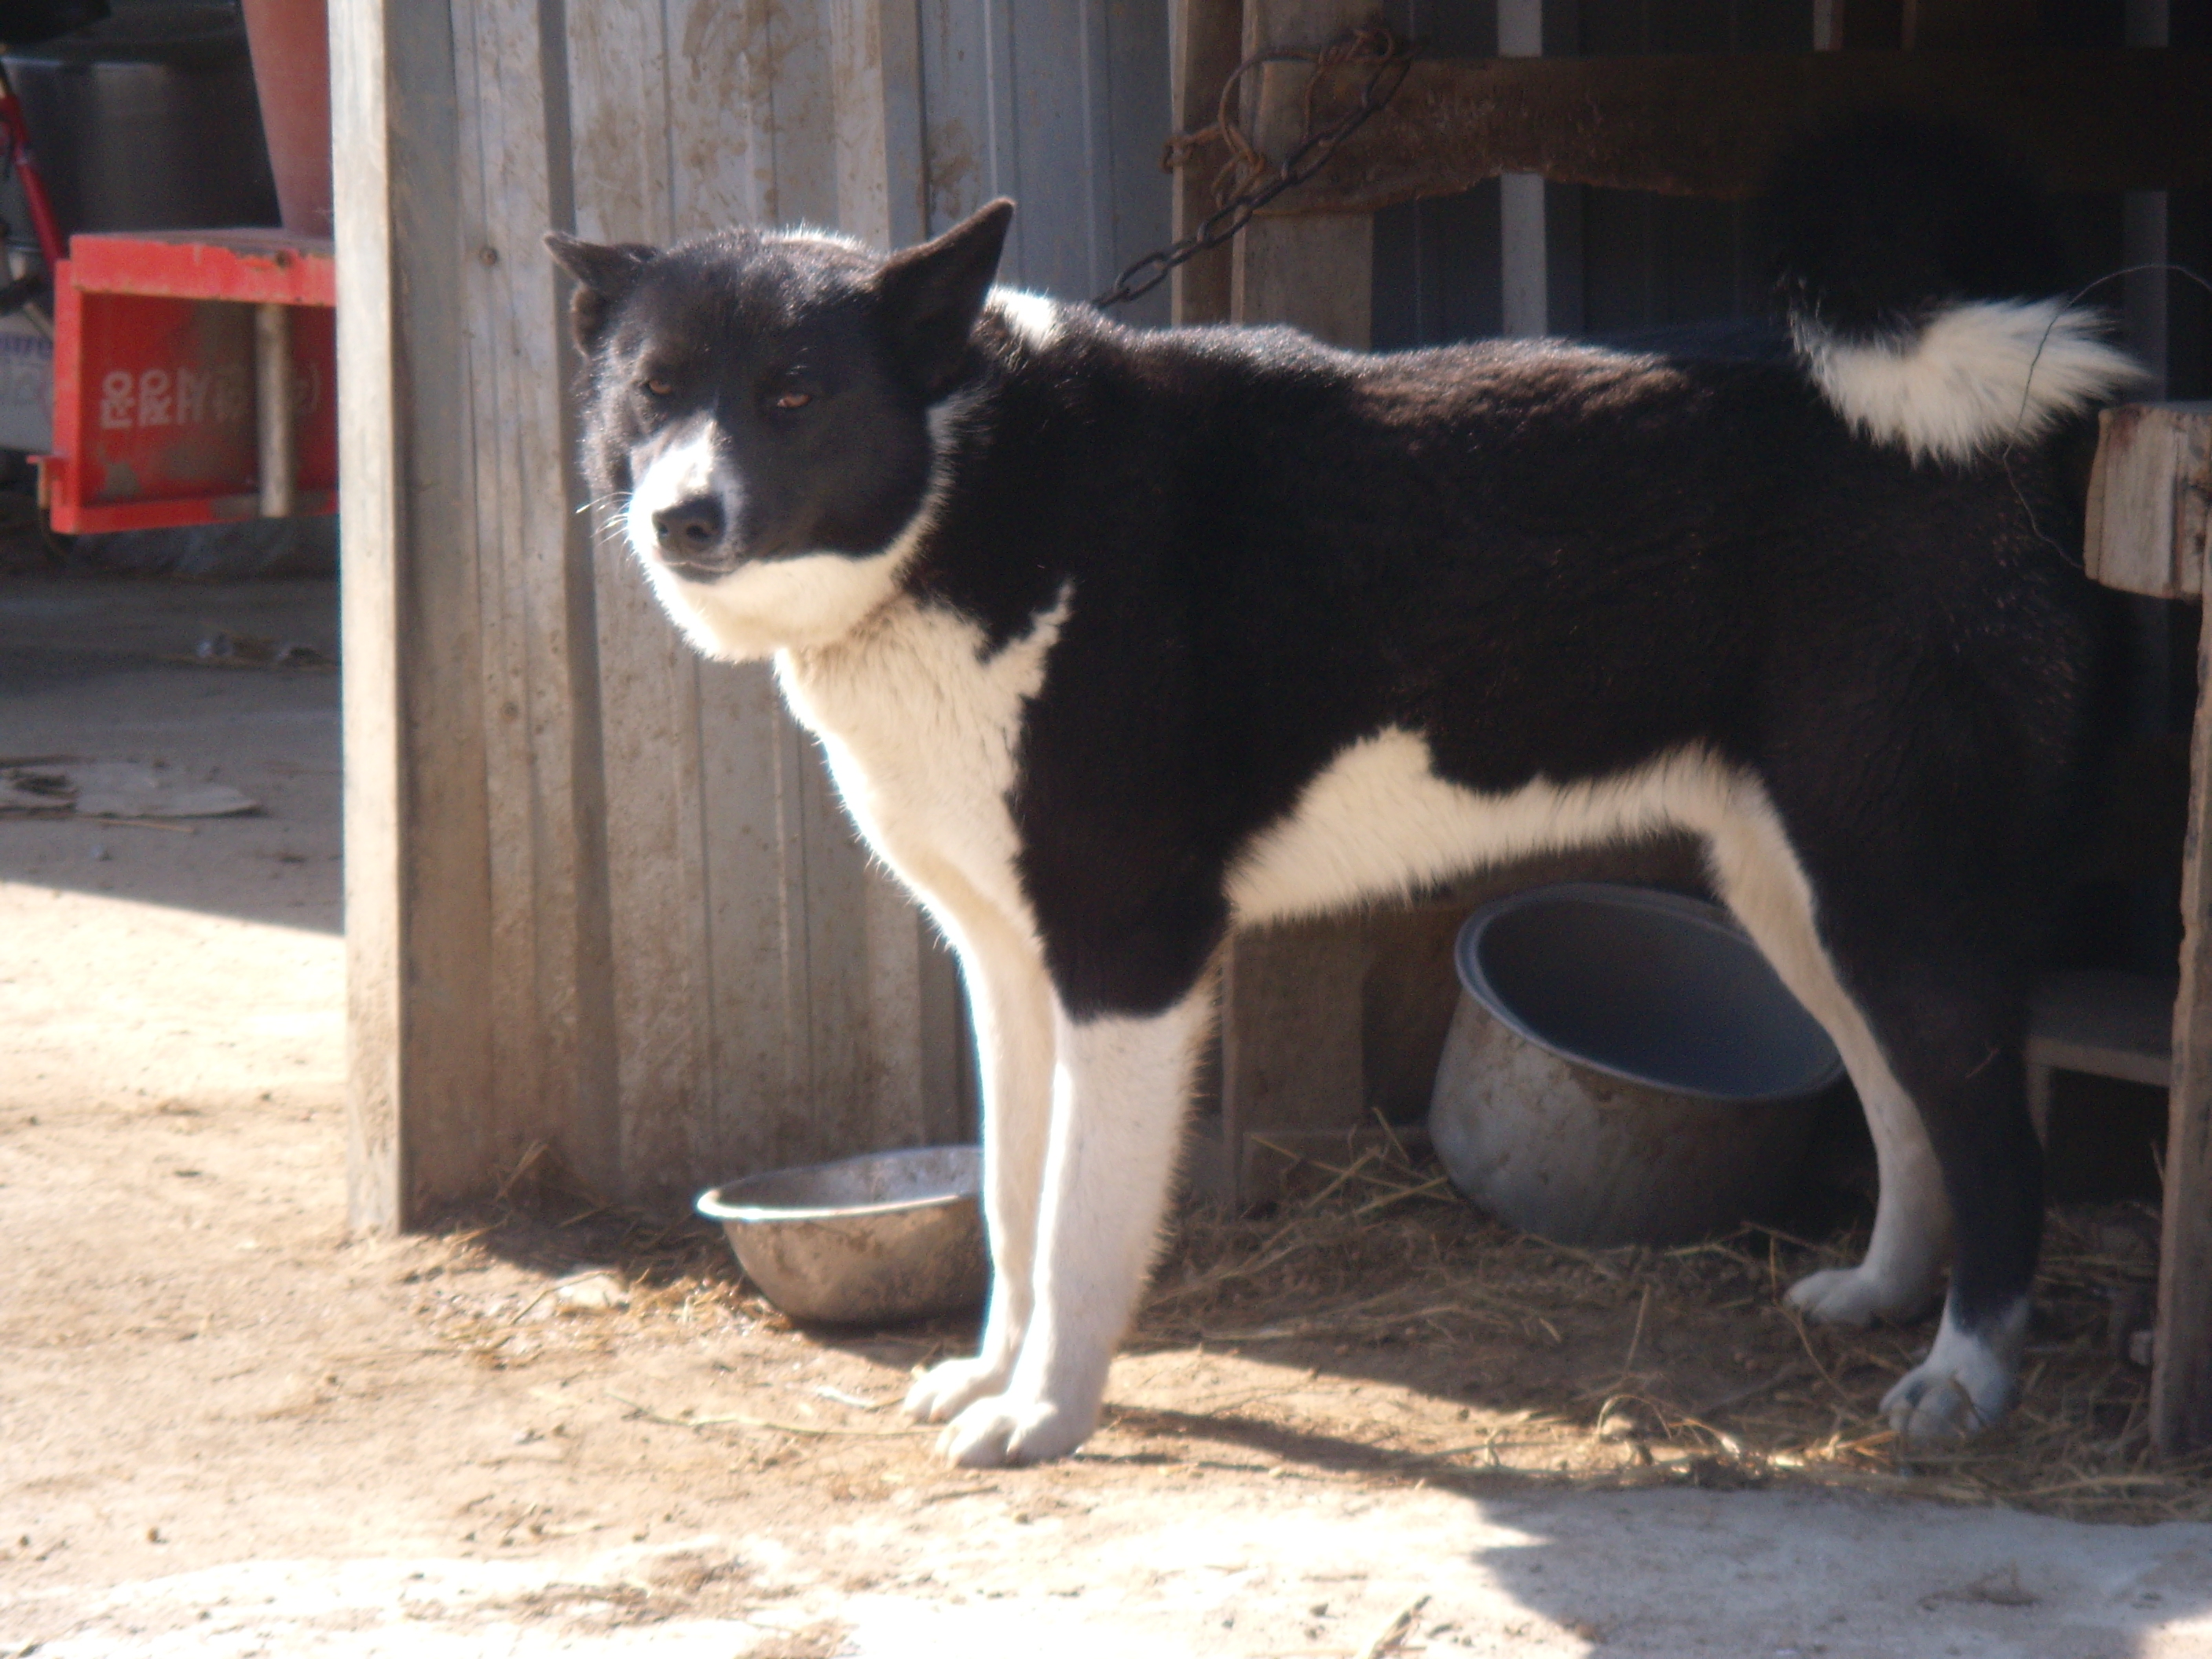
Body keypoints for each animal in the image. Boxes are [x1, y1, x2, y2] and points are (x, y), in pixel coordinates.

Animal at [548, 123, 2138, 1468]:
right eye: (655, 390)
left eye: (793, 395)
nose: (681, 516)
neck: (972, 492)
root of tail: (1962, 428)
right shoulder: (1005, 968)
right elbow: (1010, 1199)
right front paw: (994, 1372)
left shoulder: (1130, 964)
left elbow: (1079, 1224)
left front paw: (1046, 1413)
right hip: (1796, 895)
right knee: (1906, 1108)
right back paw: (1882, 1293)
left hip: (1895, 895)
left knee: (1995, 1140)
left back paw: (1966, 1377)